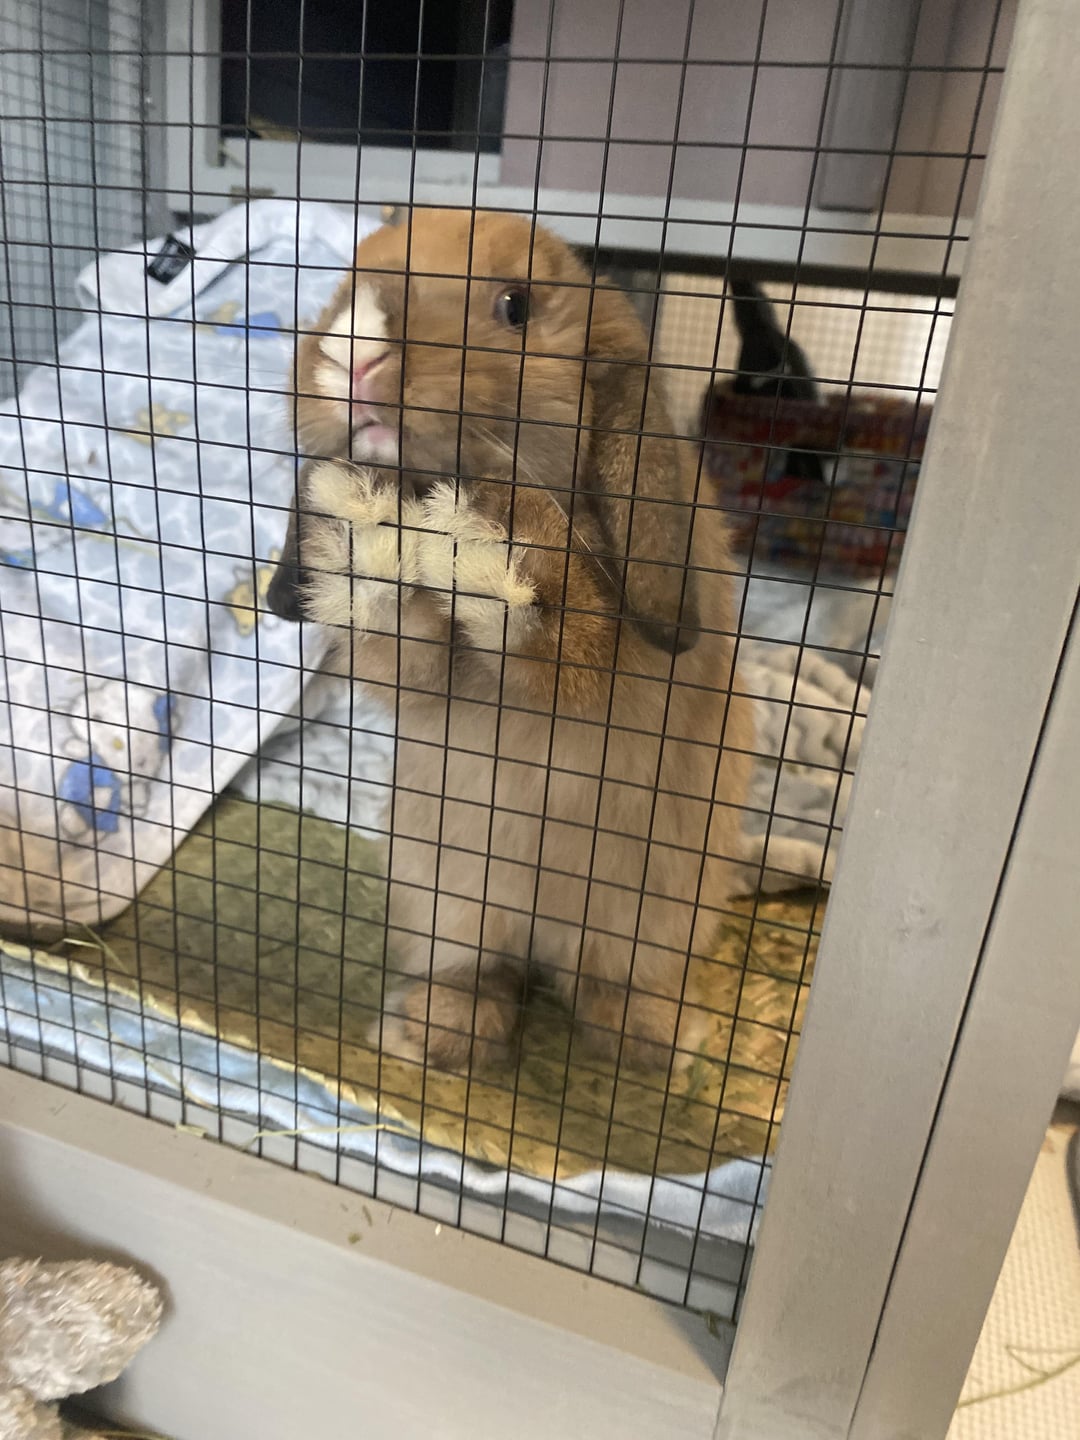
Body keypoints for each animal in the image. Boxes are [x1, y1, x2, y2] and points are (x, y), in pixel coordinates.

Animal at [267, 207, 756, 1074]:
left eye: (515, 307)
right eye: (347, 278)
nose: (356, 351)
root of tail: (547, 937)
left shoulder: (611, 665)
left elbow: (559, 626)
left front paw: (489, 542)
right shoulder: (420, 671)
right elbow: (405, 640)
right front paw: (365, 525)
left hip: (658, 912)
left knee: (609, 984)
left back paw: (661, 1044)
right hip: (450, 896)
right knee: (485, 972)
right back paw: (431, 1032)